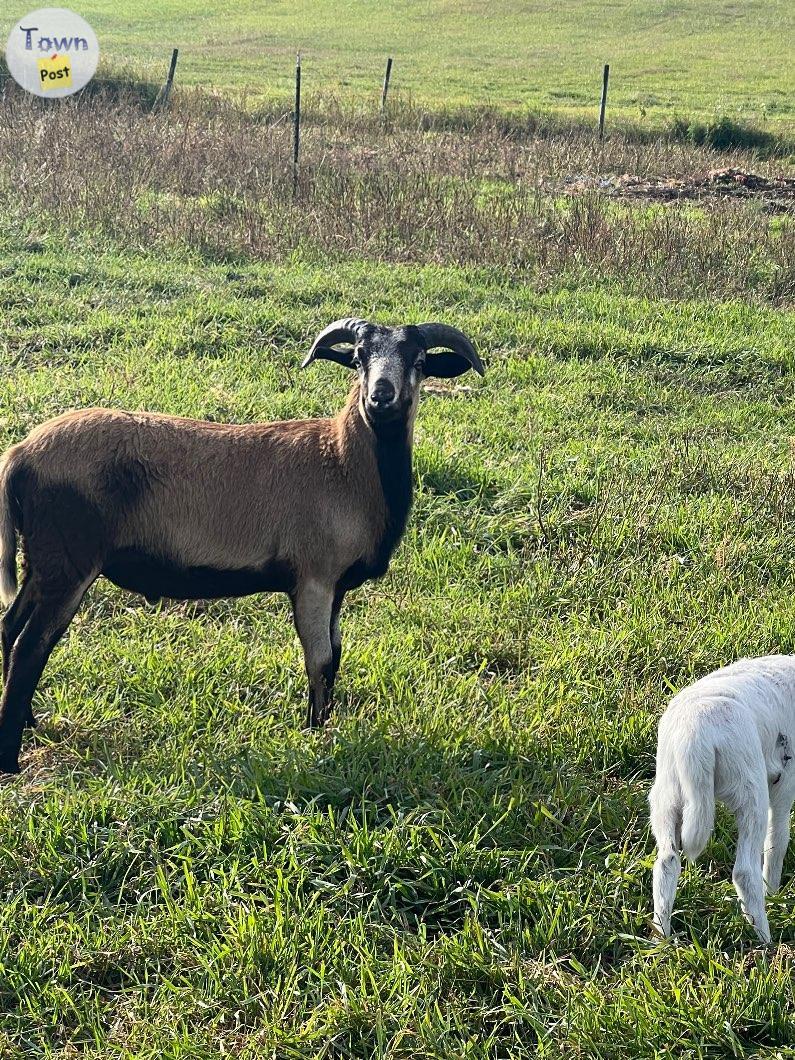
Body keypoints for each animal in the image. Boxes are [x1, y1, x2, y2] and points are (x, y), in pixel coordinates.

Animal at [648, 652, 795, 945]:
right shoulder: (785, 783)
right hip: (750, 788)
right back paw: (765, 940)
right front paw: (773, 895)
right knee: (744, 871)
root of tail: (693, 740)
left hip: (666, 795)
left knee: (666, 863)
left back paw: (662, 938)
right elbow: (777, 841)